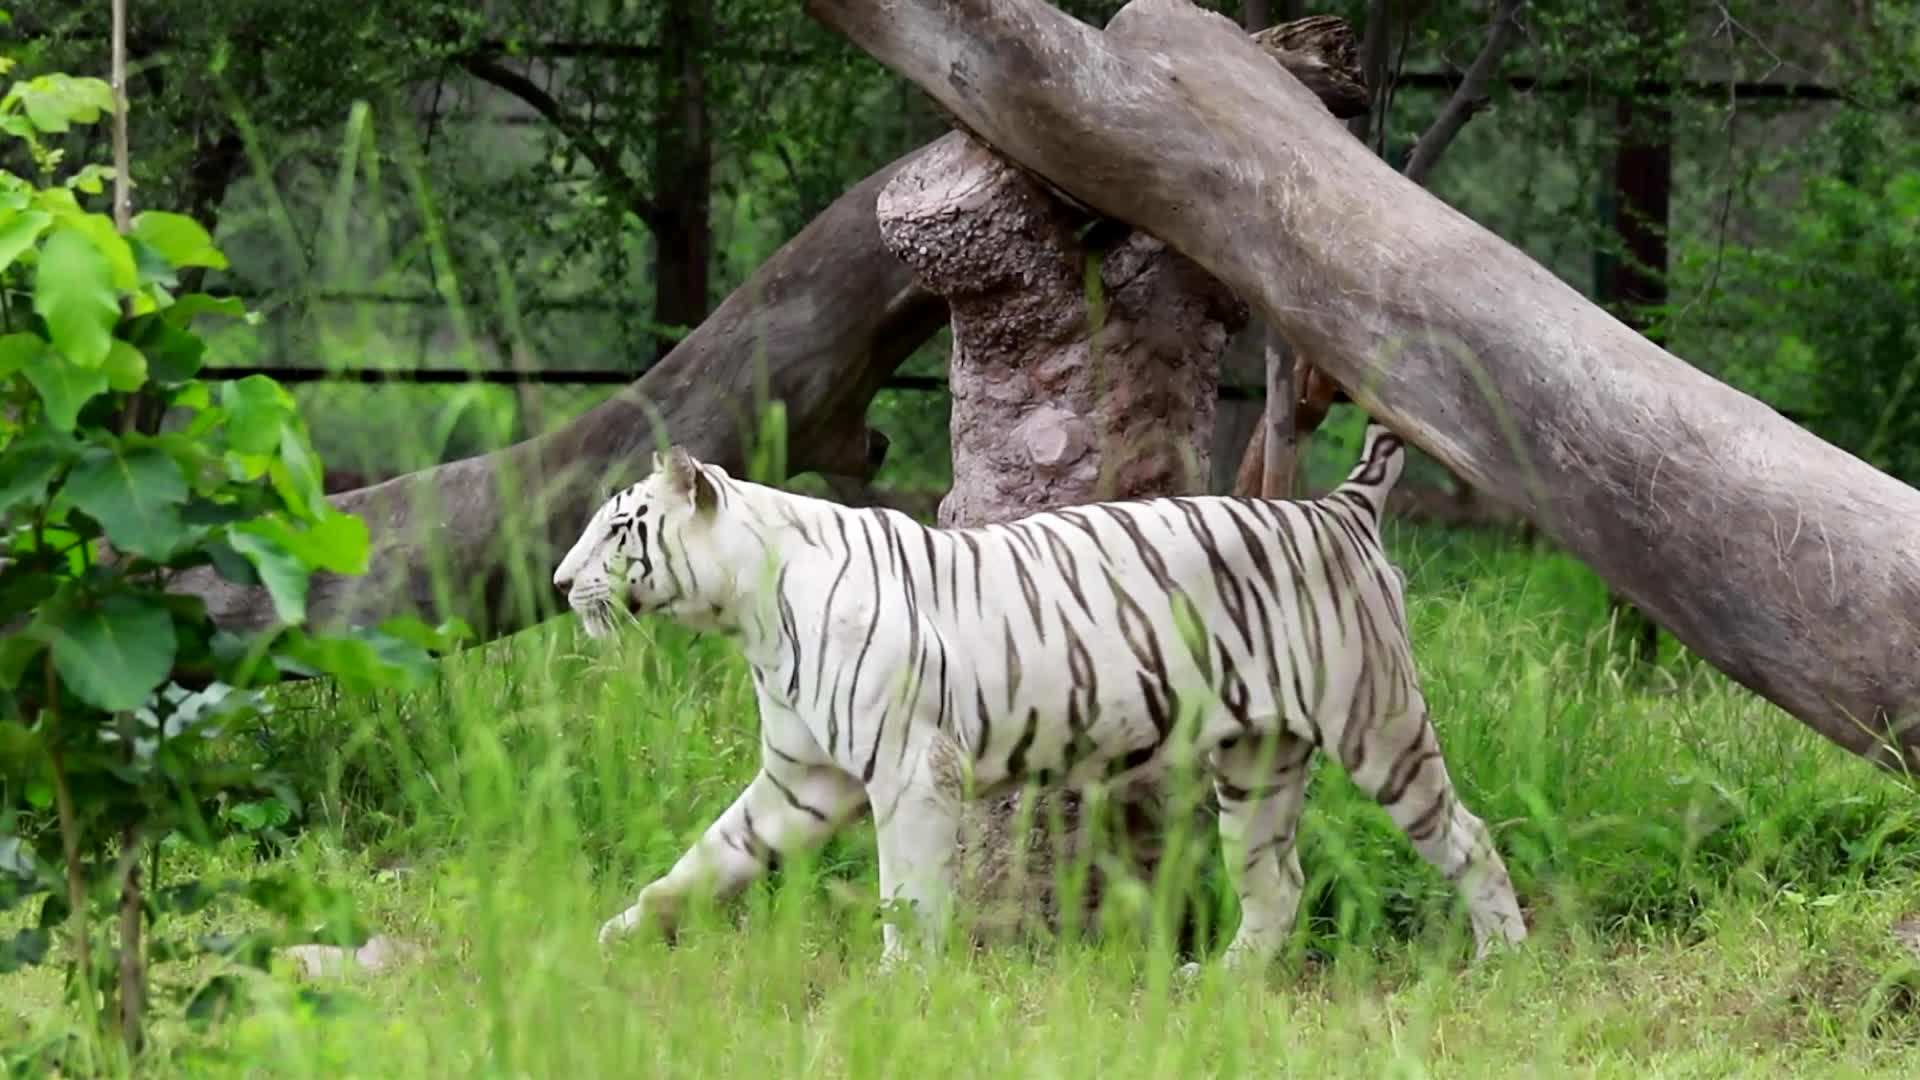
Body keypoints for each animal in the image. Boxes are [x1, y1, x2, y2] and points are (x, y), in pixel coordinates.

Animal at [553, 422, 1528, 971]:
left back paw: (1505, 958)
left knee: (1468, 837)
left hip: (1378, 724)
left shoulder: (911, 771)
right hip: (1257, 760)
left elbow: (907, 891)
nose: (560, 583)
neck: (747, 612)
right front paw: (621, 936)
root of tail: (1339, 507)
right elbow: (705, 860)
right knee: (1277, 880)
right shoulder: (804, 777)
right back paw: (1223, 979)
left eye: (617, 528)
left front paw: (899, 984)